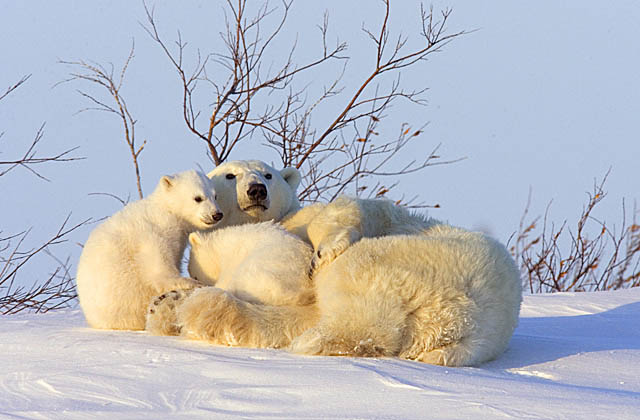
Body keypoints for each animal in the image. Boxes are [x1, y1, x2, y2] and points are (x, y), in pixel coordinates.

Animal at [76, 169, 222, 330]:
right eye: (198, 198)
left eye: (215, 195)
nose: (217, 214)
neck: (166, 211)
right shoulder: (153, 233)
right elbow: (160, 269)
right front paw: (192, 283)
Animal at [145, 161, 520, 368]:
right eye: (229, 175)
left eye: (268, 173)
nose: (256, 189)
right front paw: (165, 302)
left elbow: (347, 209)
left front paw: (323, 249)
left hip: (412, 261)